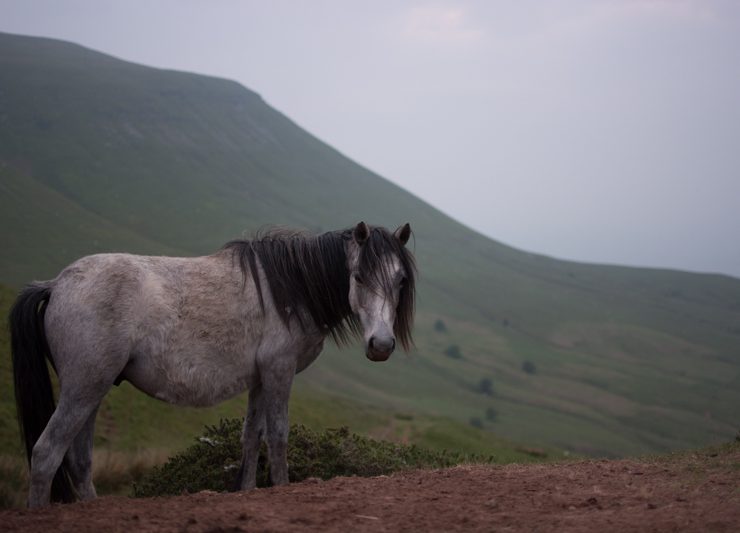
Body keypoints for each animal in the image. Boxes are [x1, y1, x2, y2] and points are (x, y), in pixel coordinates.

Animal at [9, 221, 416, 508]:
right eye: (359, 276)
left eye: (400, 280)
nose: (381, 345)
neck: (290, 288)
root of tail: (56, 284)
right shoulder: (279, 372)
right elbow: (278, 435)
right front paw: (281, 486)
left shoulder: (259, 379)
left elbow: (253, 435)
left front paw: (247, 490)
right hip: (83, 389)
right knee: (46, 453)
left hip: (92, 391)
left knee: (78, 460)